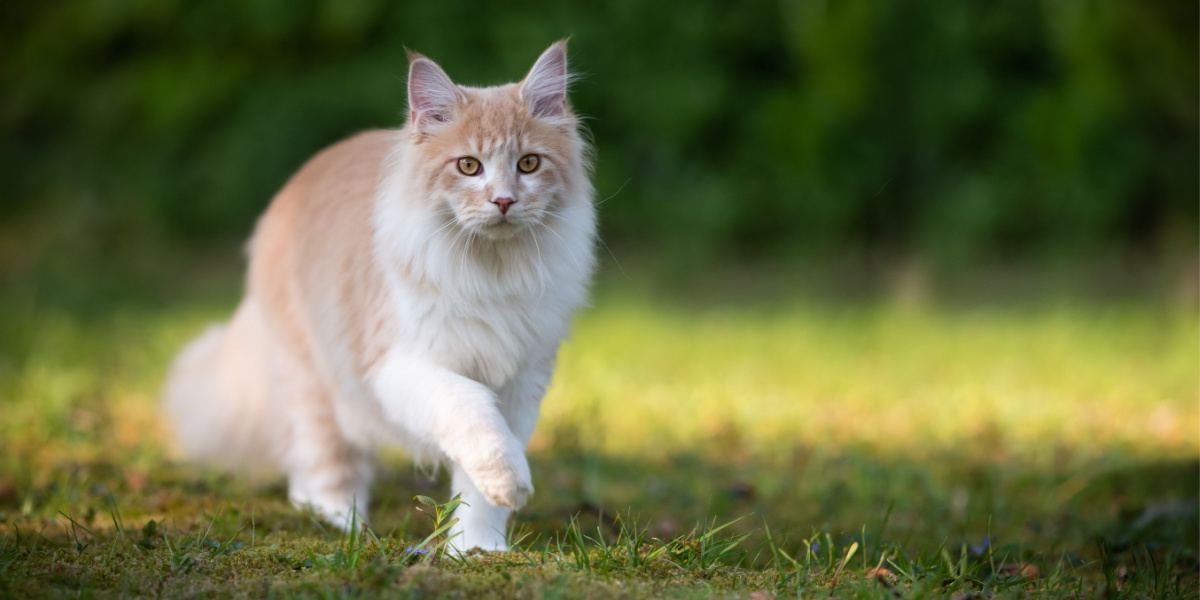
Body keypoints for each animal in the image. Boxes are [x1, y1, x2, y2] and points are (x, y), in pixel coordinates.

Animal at [166, 39, 597, 549]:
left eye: (528, 163)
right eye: (469, 166)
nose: (504, 201)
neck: (491, 272)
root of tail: (296, 182)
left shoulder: (521, 380)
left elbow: (479, 487)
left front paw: (477, 548)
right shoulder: (397, 365)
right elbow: (473, 410)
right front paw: (508, 482)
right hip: (314, 380)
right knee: (320, 463)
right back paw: (339, 525)